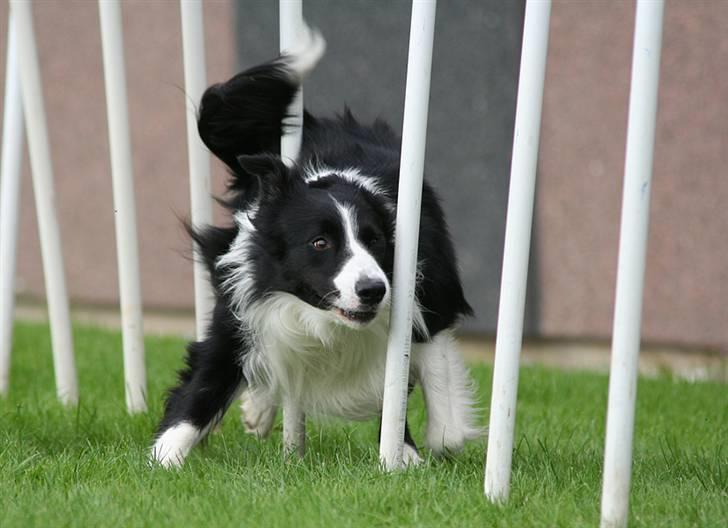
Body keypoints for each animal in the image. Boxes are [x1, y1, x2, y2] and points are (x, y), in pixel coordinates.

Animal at [151, 26, 480, 468]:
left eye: (374, 240)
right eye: (320, 243)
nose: (373, 290)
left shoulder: (432, 293)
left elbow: (426, 394)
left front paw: (410, 453)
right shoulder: (240, 302)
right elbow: (203, 386)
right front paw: (162, 459)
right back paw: (259, 409)